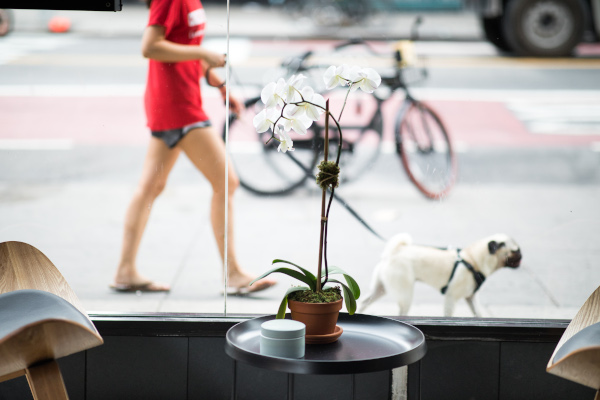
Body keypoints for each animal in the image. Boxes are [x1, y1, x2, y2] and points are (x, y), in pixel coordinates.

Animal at [358, 233, 524, 318]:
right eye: (515, 251)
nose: (522, 255)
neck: (473, 260)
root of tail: (395, 251)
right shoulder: (451, 298)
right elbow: (448, 315)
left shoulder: (471, 298)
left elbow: (479, 314)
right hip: (405, 294)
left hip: (380, 289)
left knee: (364, 302)